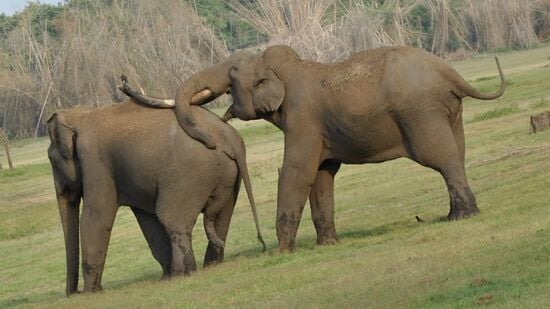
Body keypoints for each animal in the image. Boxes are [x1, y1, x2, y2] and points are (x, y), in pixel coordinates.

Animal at [46, 98, 266, 294]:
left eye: (51, 160)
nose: (73, 293)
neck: (80, 114)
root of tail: (230, 139)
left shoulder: (95, 162)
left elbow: (96, 218)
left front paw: (91, 293)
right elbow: (147, 220)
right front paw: (164, 276)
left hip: (187, 176)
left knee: (171, 219)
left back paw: (183, 274)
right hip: (228, 177)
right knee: (221, 218)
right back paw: (209, 265)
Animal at [124, 46, 508, 253]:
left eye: (231, 72)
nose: (123, 81)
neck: (285, 66)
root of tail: (450, 73)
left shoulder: (302, 121)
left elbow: (296, 171)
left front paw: (282, 253)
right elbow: (322, 175)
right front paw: (327, 245)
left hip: (421, 113)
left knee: (442, 158)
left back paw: (462, 216)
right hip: (448, 111)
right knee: (457, 153)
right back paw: (454, 214)